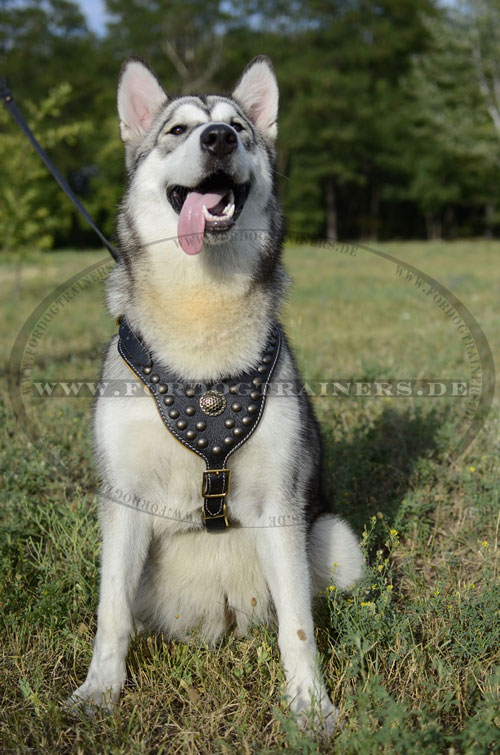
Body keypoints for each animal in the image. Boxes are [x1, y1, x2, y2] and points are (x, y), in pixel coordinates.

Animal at [71, 54, 364, 732]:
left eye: (239, 127)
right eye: (178, 129)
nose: (219, 139)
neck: (201, 306)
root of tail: (223, 619)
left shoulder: (280, 506)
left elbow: (299, 628)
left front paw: (311, 707)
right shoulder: (123, 501)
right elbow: (110, 615)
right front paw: (100, 693)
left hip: (335, 541)